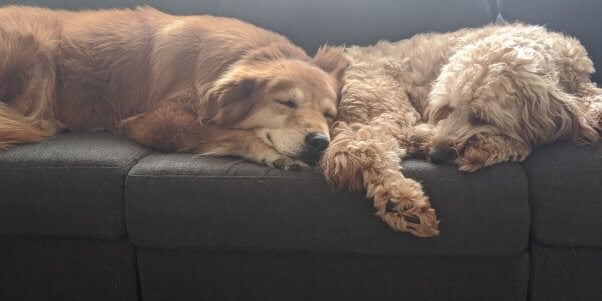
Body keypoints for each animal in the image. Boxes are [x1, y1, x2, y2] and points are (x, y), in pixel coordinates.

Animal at [0, 5, 346, 169]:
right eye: (287, 103)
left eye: (329, 114)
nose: (320, 142)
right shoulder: (154, 121)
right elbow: (225, 132)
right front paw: (270, 154)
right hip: (34, 49)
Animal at [318, 22, 600, 236]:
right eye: (446, 108)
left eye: (480, 117)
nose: (436, 155)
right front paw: (485, 147)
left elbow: (591, 96)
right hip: (387, 104)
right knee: (360, 147)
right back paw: (400, 202)